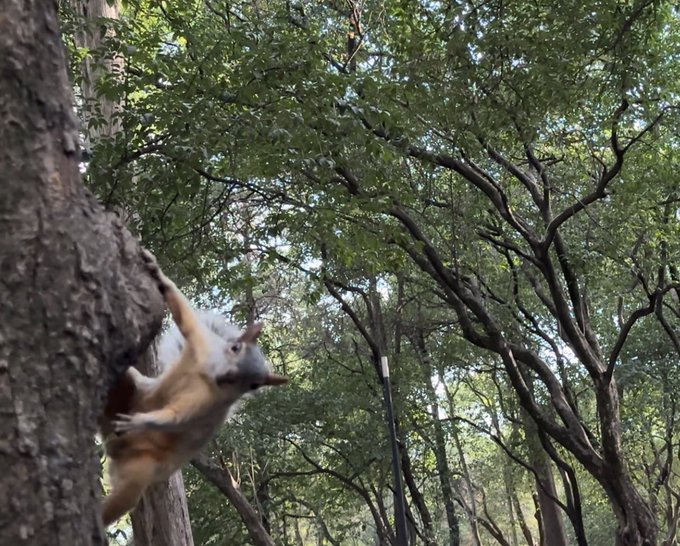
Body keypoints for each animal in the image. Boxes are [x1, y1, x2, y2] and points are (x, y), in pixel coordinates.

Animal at [99, 250, 287, 526]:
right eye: (235, 347)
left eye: (254, 384)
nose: (225, 377)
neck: (205, 377)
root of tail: (114, 447)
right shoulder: (202, 344)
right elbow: (185, 317)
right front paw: (157, 271)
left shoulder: (207, 407)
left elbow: (176, 417)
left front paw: (141, 421)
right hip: (132, 390)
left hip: (140, 468)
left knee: (125, 497)